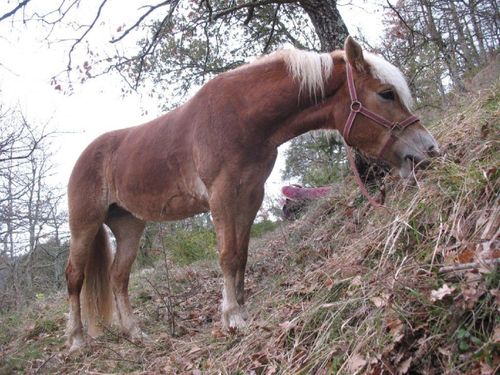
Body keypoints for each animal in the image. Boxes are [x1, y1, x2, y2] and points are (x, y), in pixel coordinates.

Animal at [65, 37, 438, 352]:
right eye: (386, 93)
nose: (427, 149)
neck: (240, 116)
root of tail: (84, 157)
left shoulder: (250, 195)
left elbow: (242, 255)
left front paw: (241, 309)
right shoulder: (222, 195)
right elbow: (228, 255)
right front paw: (233, 317)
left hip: (129, 224)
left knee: (118, 277)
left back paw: (135, 334)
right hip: (85, 224)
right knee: (75, 276)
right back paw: (77, 341)